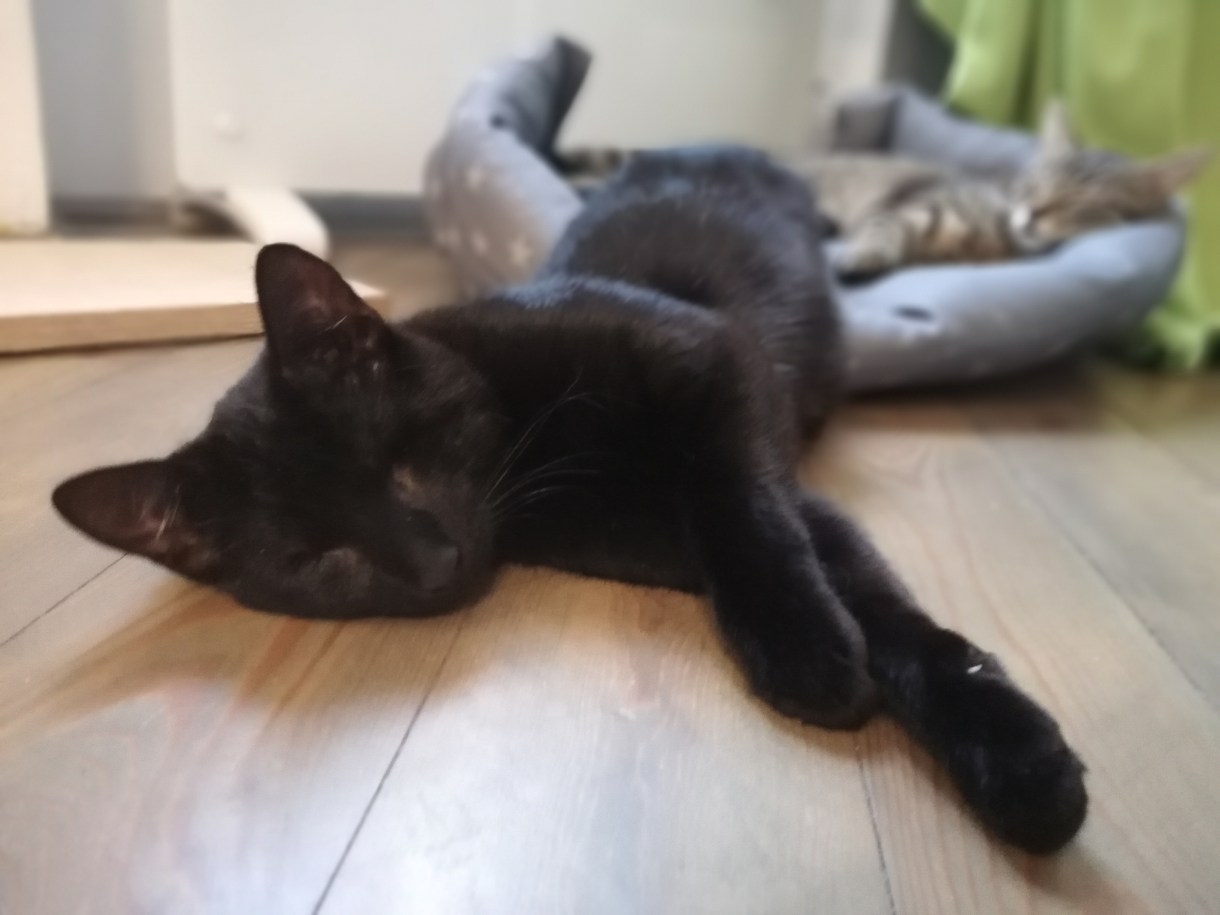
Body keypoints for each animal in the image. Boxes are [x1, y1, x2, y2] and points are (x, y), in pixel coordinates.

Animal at [54, 147, 1088, 858]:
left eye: (396, 463)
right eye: (318, 558)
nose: (434, 562)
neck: (532, 439)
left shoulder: (722, 372)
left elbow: (775, 531)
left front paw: (1009, 754)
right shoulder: (684, 525)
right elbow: (826, 576)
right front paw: (843, 661)